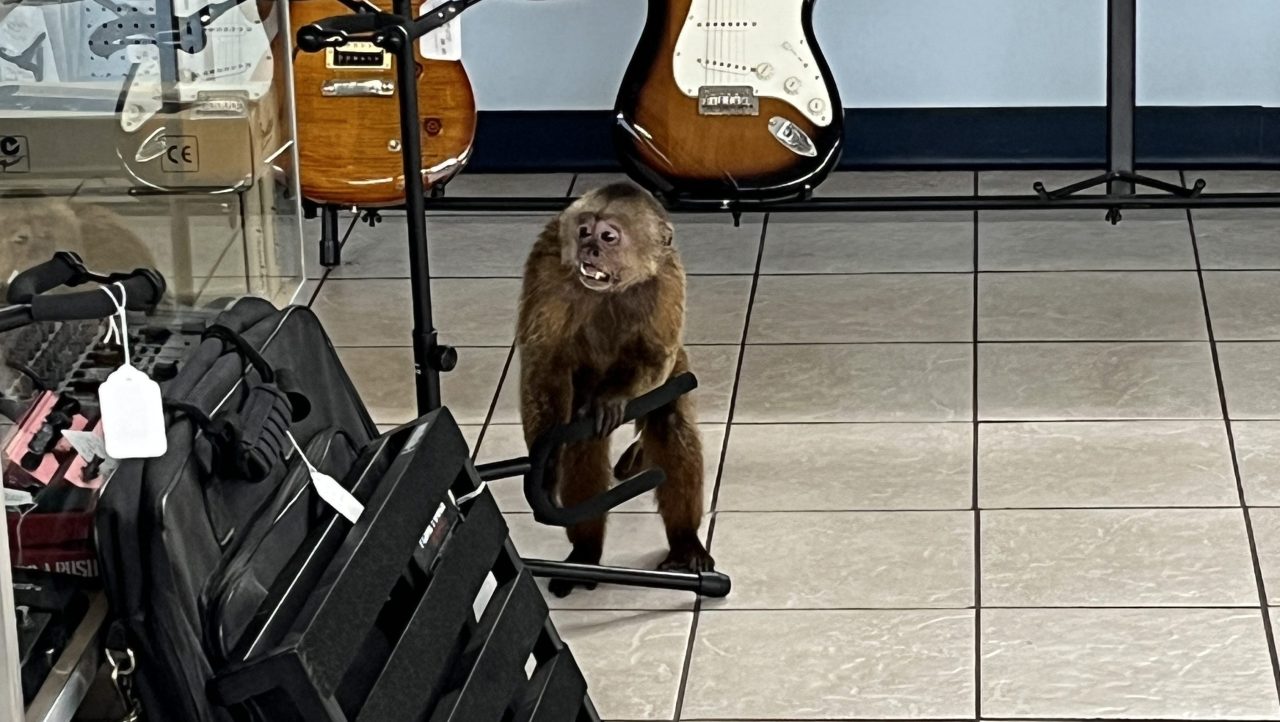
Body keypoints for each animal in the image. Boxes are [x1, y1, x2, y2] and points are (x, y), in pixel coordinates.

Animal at [516, 182, 714, 597]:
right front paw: (545, 471)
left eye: (608, 237)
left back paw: (685, 544)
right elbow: (543, 365)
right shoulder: (547, 265)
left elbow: (656, 355)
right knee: (582, 443)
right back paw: (586, 554)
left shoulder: (666, 274)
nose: (590, 249)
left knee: (670, 418)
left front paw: (612, 402)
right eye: (584, 232)